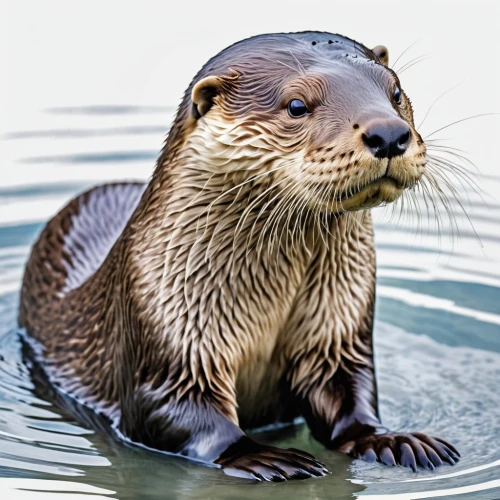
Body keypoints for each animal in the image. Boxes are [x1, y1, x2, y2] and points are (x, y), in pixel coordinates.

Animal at [19, 30, 460, 480]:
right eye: (296, 105)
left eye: (396, 92)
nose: (388, 133)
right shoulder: (165, 325)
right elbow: (178, 410)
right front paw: (261, 456)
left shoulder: (338, 327)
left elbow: (348, 396)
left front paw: (389, 438)